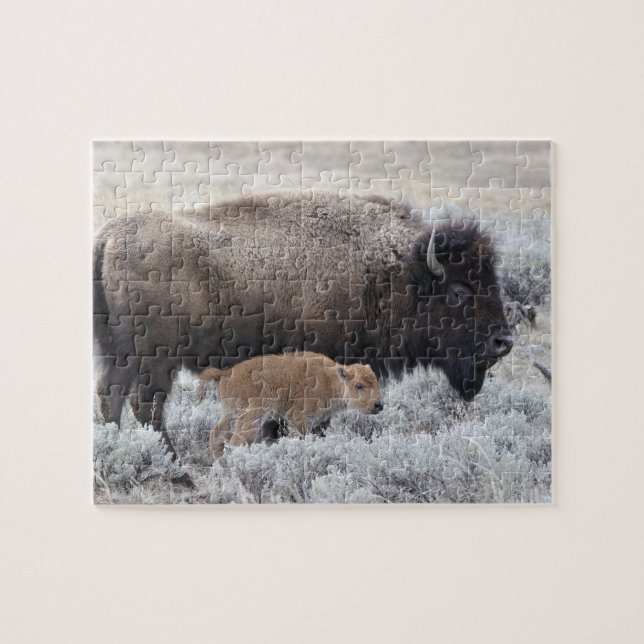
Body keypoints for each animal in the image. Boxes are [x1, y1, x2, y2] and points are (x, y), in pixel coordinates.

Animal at [197, 351, 383, 459]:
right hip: (252, 416)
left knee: (216, 436)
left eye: (376, 381)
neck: (330, 380)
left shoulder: (319, 423)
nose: (379, 405)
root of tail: (226, 373)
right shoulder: (299, 419)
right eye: (359, 386)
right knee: (237, 442)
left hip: (230, 415)